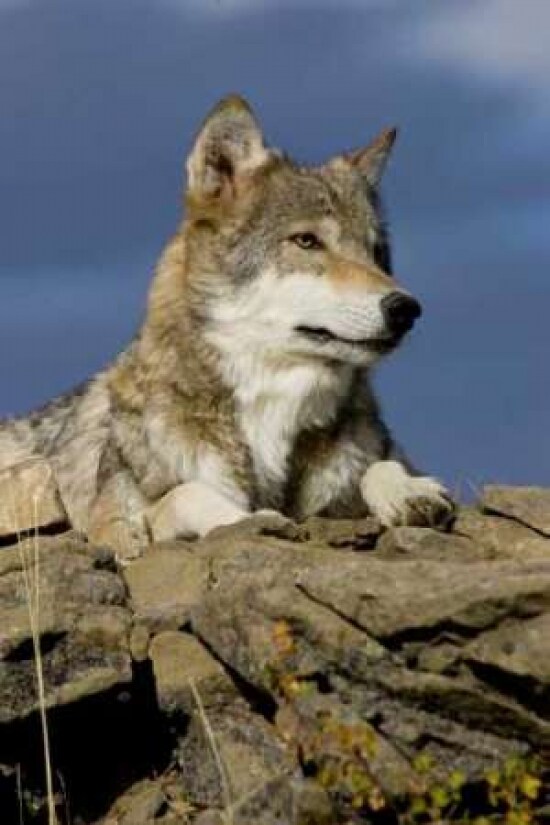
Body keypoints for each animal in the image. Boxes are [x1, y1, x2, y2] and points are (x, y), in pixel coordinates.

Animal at [0, 95, 453, 558]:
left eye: (377, 252)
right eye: (306, 241)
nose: (406, 308)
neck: (272, 408)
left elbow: (381, 464)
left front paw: (410, 491)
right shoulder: (113, 530)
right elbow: (186, 495)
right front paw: (253, 518)